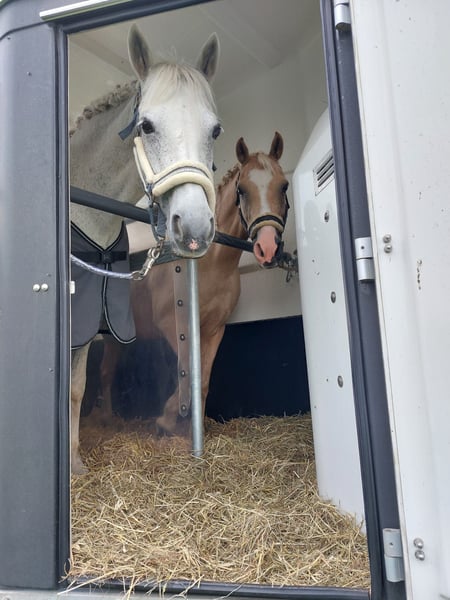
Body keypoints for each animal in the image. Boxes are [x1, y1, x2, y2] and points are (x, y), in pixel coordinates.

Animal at [70, 25, 220, 474]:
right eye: (147, 126)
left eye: (215, 130)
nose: (194, 226)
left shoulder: (85, 323)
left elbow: (76, 387)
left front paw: (75, 463)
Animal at [98, 132, 289, 437]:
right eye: (242, 190)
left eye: (283, 186)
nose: (268, 247)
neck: (211, 264)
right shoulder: (174, 327)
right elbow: (189, 372)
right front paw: (166, 420)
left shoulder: (214, 330)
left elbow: (203, 379)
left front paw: (190, 426)